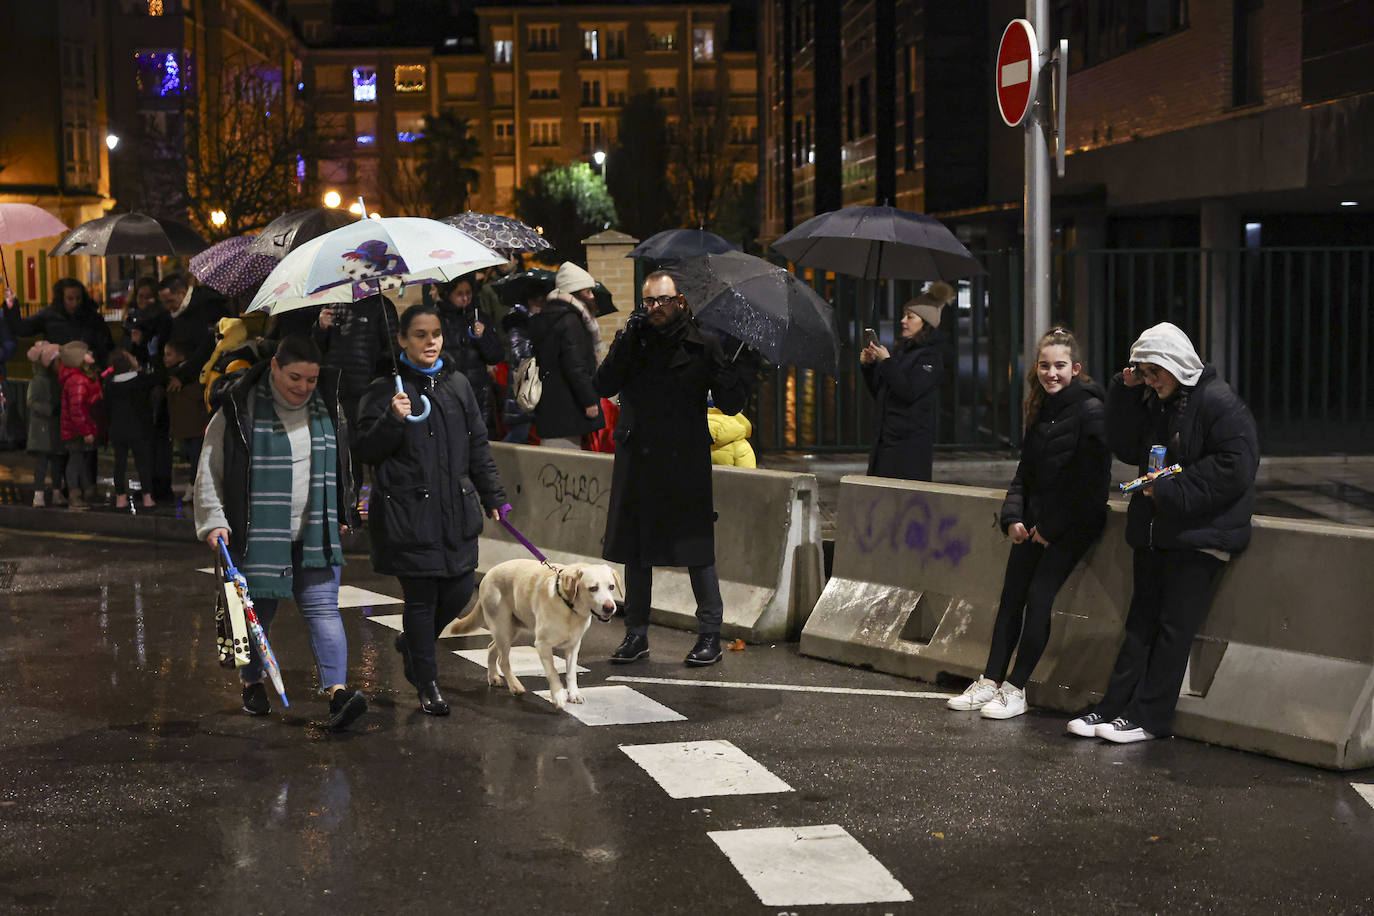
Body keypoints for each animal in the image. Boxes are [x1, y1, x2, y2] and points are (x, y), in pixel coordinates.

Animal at [447, 560, 626, 708]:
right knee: (503, 660)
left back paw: (494, 677)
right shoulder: (542, 645)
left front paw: (574, 694)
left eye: (611, 587)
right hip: (503, 628)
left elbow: (571, 673)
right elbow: (553, 671)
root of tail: (488, 574)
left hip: (511, 630)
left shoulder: (573, 646)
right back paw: (515, 686)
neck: (568, 607)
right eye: (593, 588)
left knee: (491, 648)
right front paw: (559, 695)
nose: (610, 607)